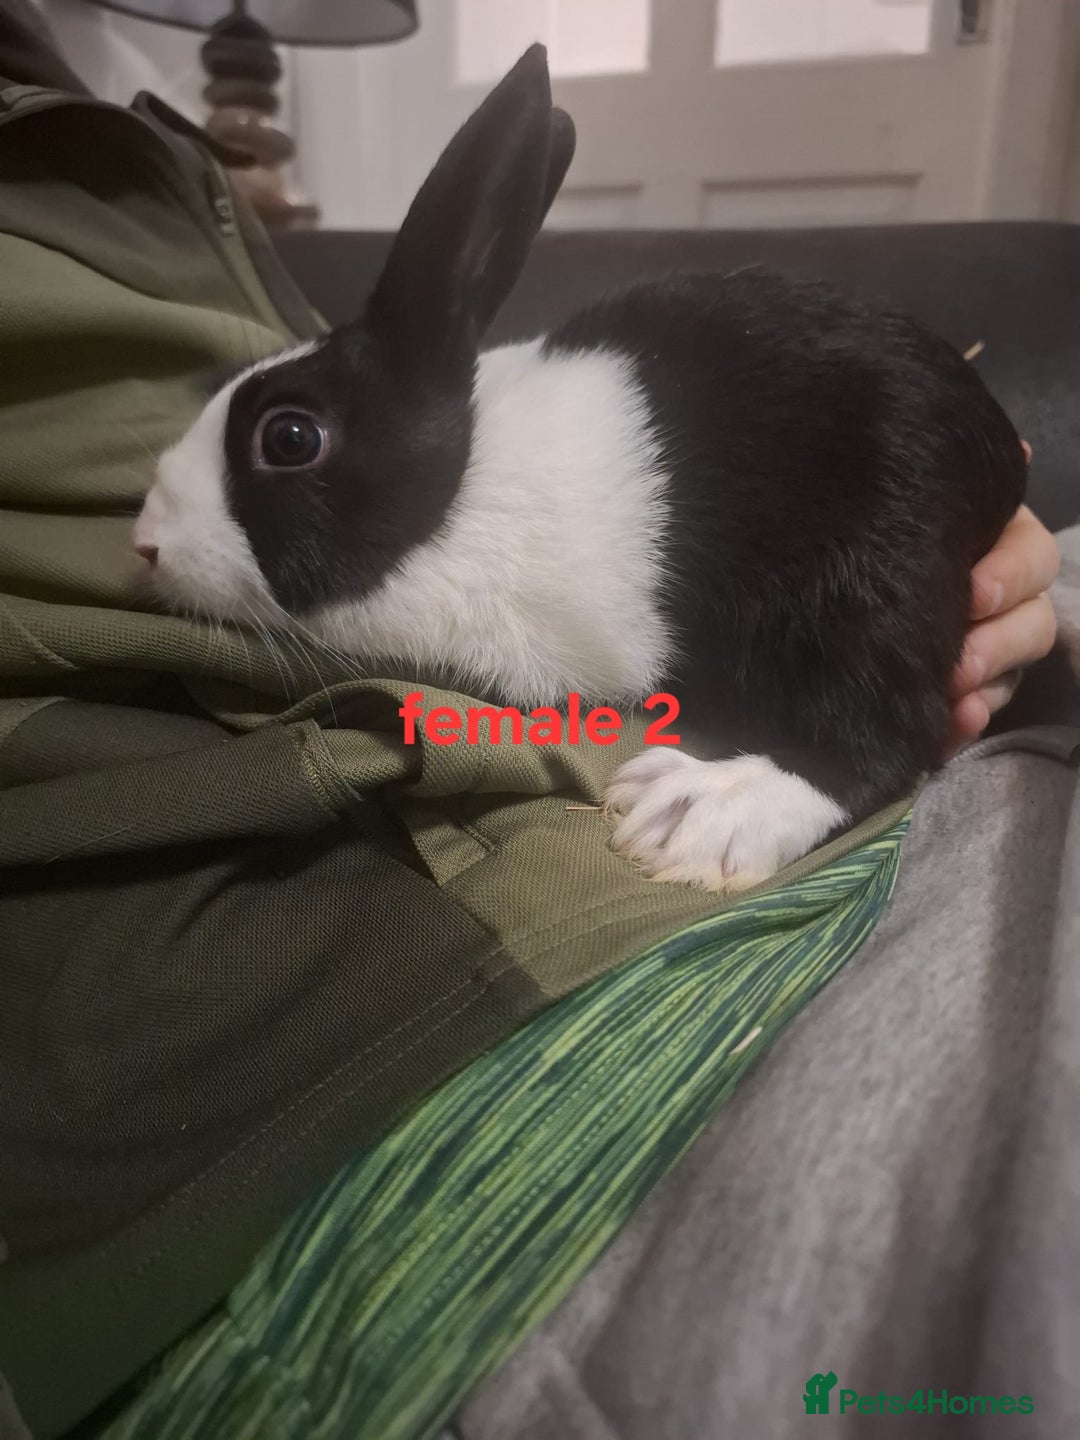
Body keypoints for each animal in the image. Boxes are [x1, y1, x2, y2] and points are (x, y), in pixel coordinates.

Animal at [133, 43, 1027, 895]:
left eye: (289, 437)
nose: (145, 543)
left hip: (867, 575)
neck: (463, 491)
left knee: (885, 735)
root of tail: (993, 456)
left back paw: (692, 813)